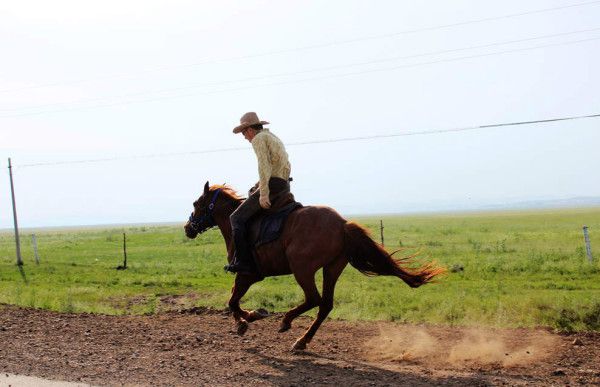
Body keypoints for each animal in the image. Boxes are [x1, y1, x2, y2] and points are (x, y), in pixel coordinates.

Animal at [184, 182, 446, 352]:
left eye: (197, 203)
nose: (187, 228)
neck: (236, 226)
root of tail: (341, 223)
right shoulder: (251, 276)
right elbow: (233, 300)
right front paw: (250, 317)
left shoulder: (246, 274)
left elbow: (232, 301)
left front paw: (247, 320)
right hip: (332, 269)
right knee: (325, 305)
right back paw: (301, 341)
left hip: (303, 269)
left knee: (313, 299)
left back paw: (287, 322)